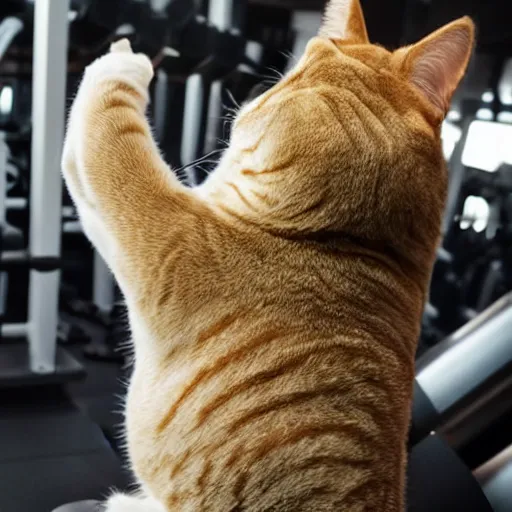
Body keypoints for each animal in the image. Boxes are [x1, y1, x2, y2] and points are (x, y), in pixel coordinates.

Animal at [62, 2, 474, 510]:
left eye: (293, 75)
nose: (254, 98)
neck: (348, 240)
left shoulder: (161, 227)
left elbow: (109, 118)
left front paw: (124, 56)